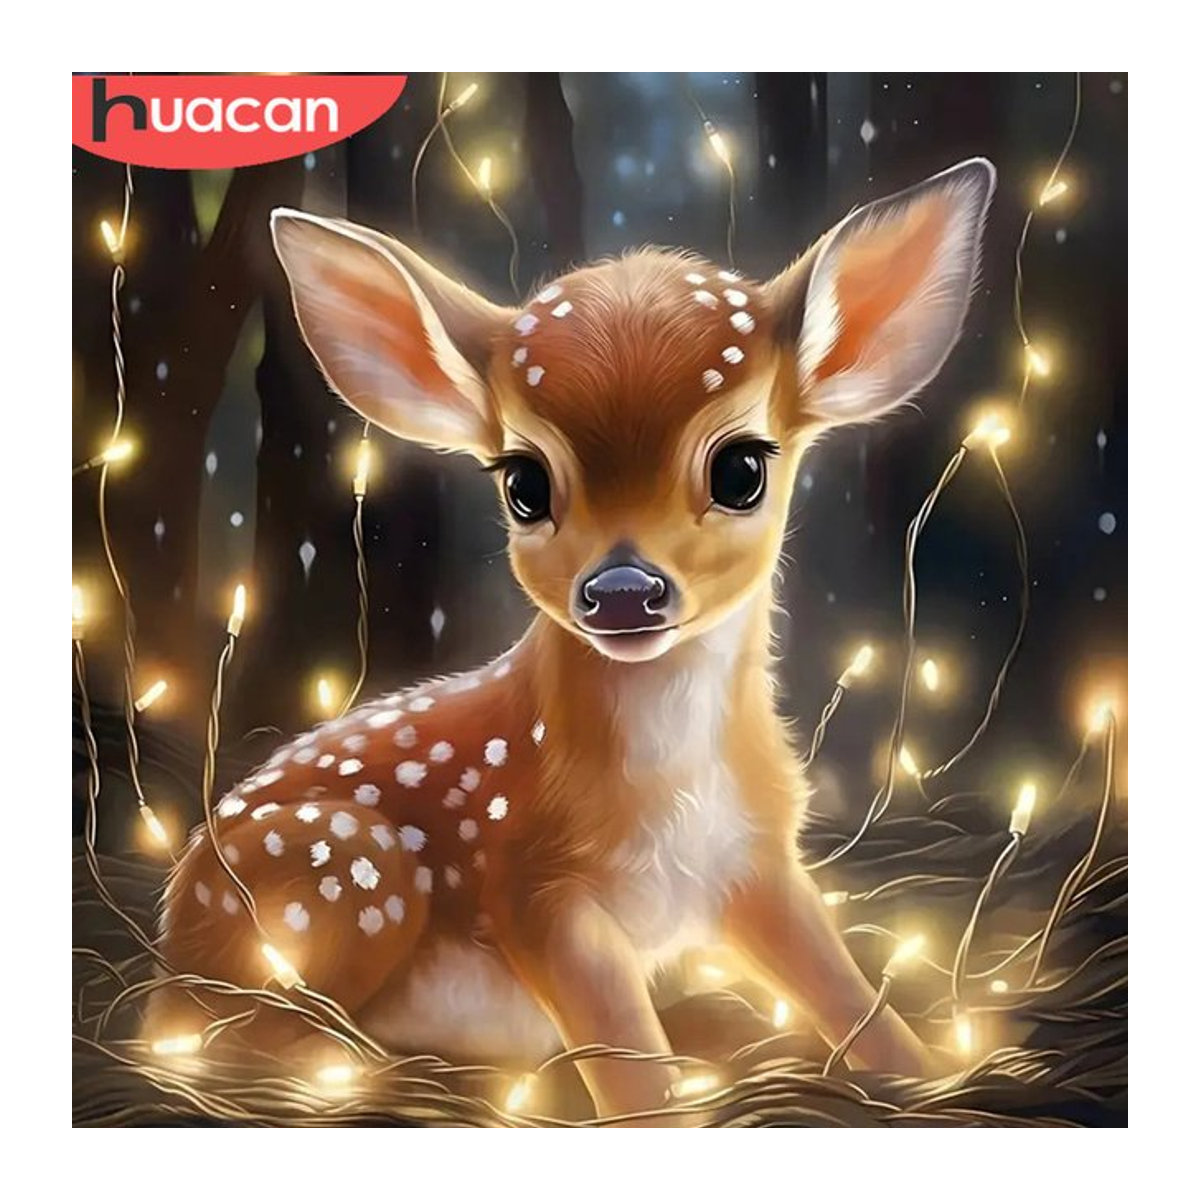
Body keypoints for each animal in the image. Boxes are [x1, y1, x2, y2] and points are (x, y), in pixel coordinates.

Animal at [155, 157, 996, 1122]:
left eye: (742, 468)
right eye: (524, 483)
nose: (624, 590)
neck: (668, 782)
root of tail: (168, 946)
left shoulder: (754, 859)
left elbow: (842, 986)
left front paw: (931, 1075)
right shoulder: (529, 886)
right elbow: (629, 1061)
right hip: (343, 871)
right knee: (229, 1037)